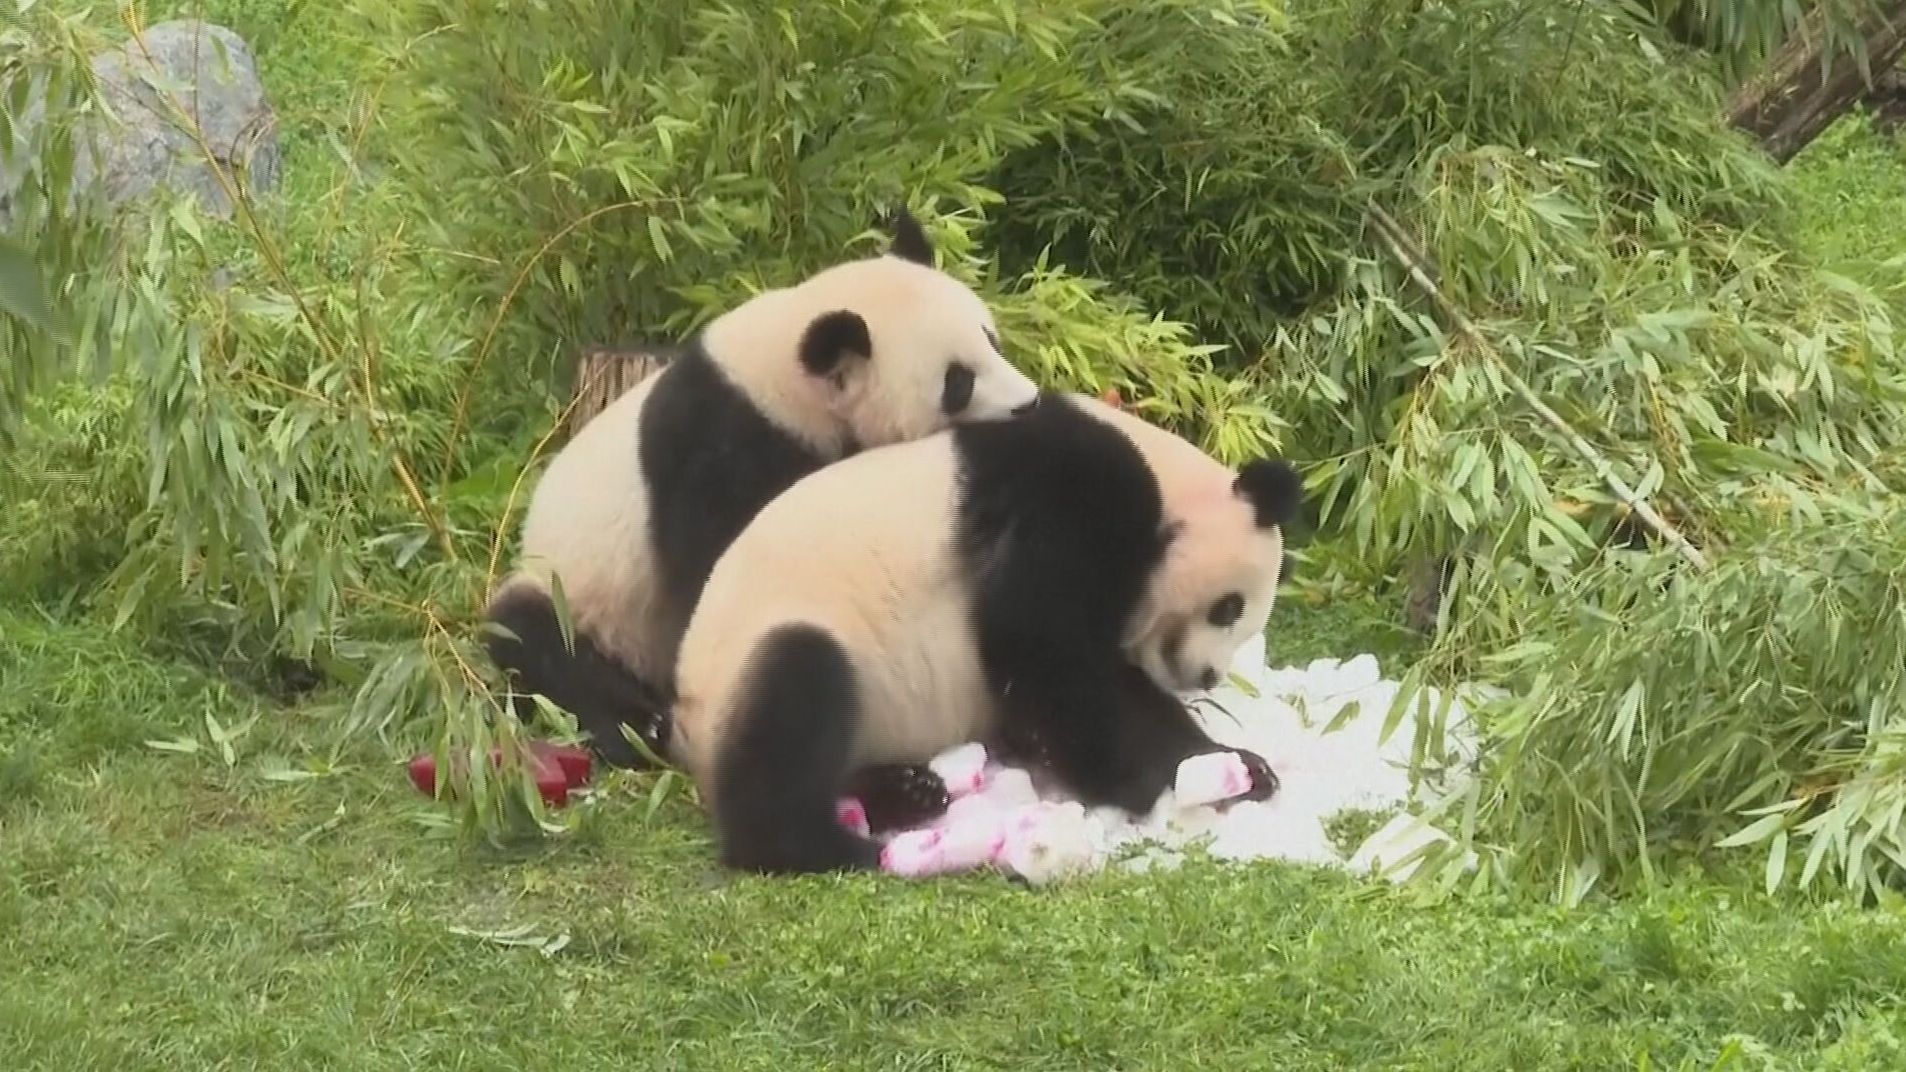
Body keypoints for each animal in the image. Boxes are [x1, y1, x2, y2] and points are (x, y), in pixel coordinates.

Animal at [484, 210, 1036, 759]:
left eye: (991, 339)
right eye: (958, 381)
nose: (1028, 403)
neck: (788, 379)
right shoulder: (719, 446)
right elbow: (717, 565)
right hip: (576, 595)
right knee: (536, 641)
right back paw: (640, 728)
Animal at [663, 387, 1303, 873]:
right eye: (1228, 608)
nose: (1207, 676)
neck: (1164, 479)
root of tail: (685, 723)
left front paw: (1243, 768)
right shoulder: (1069, 500)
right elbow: (1045, 650)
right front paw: (1146, 781)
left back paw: (906, 791)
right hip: (777, 635)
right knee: (796, 691)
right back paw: (828, 844)